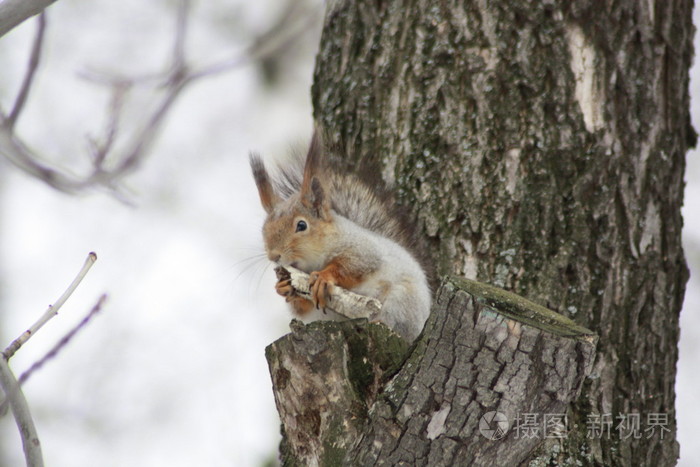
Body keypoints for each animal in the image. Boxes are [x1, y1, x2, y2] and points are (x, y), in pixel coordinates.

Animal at [246, 133, 432, 342]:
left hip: (402, 302)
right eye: (264, 230)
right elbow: (303, 308)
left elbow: (353, 265)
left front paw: (324, 277)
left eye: (301, 225)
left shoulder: (364, 250)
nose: (274, 256)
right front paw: (284, 286)